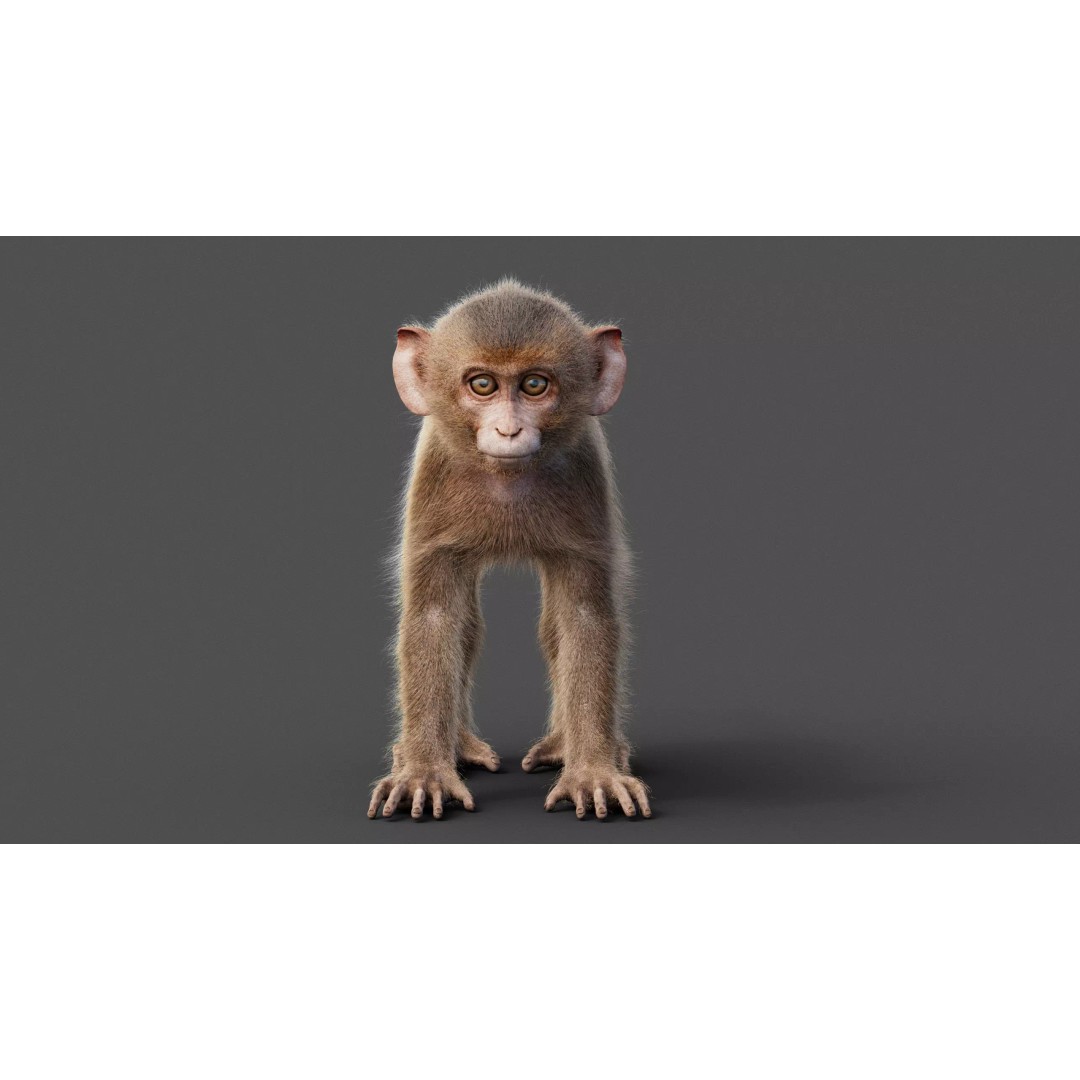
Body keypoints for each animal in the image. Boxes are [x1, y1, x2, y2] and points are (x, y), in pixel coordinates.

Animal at [367, 279, 651, 822]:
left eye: (534, 386)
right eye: (483, 386)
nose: (509, 430)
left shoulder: (583, 477)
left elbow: (581, 618)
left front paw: (593, 772)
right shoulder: (435, 478)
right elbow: (436, 617)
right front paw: (424, 772)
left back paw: (569, 746)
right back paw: (451, 747)